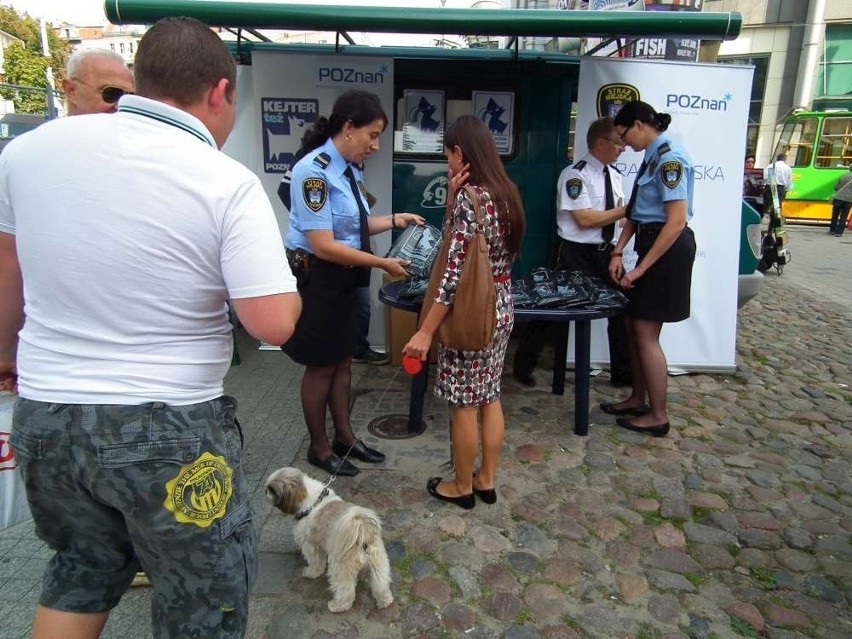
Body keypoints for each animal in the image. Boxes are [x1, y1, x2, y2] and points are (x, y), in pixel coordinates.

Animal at [264, 470, 394, 608]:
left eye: (272, 490)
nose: (265, 491)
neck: (312, 501)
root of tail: (362, 531)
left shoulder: (310, 545)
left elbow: (316, 562)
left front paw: (311, 572)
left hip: (341, 567)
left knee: (345, 590)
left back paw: (338, 605)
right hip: (378, 562)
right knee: (380, 583)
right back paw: (385, 601)